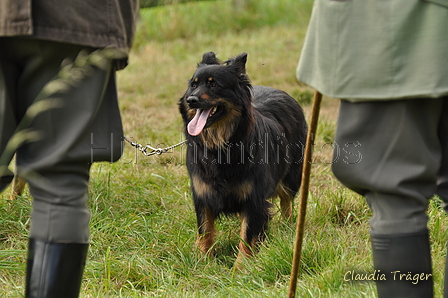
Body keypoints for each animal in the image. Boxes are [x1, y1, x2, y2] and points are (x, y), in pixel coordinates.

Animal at [178, 51, 308, 266]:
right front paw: (203, 262)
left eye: (214, 85)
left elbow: (247, 235)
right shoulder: (203, 195)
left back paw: (288, 227)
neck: (222, 145)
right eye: (193, 85)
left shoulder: (254, 199)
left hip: (291, 176)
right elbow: (205, 231)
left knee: (286, 201)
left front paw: (241, 267)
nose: (191, 100)